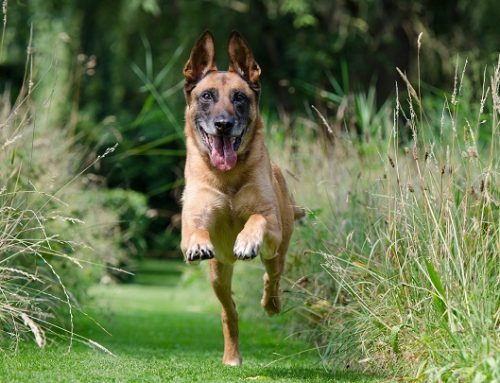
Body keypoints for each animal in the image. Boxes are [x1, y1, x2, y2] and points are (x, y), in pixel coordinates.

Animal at [181, 30, 302, 366]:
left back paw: (271, 303)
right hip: (218, 273)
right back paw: (232, 355)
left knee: (272, 279)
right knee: (229, 311)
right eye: (207, 96)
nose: (223, 124)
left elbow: (257, 218)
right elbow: (195, 229)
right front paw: (198, 243)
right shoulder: (195, 216)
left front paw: (247, 240)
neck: (227, 177)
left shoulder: (270, 221)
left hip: (277, 251)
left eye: (239, 97)